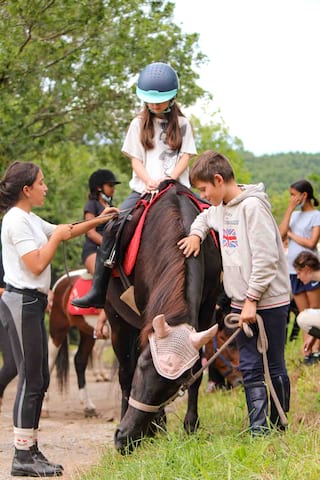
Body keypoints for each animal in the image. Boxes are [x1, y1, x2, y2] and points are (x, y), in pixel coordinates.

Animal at [105, 181, 222, 454]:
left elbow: (198, 369)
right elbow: (129, 372)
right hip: (117, 322)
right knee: (123, 373)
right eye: (143, 368)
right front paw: (154, 428)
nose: (124, 438)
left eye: (174, 385)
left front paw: (190, 425)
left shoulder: (207, 310)